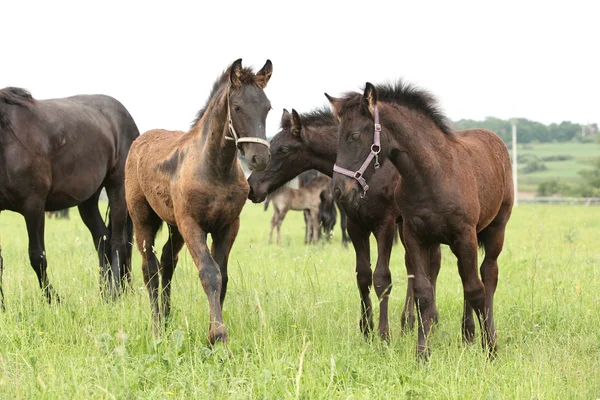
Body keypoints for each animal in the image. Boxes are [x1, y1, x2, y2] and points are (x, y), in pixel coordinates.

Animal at [0, 88, 139, 306]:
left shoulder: (34, 206)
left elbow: (37, 256)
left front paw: (53, 300)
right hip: (88, 200)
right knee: (102, 239)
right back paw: (104, 293)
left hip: (118, 188)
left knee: (118, 242)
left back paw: (114, 293)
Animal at [127, 58, 276, 344]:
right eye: (237, 107)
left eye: (268, 107)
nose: (260, 158)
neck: (215, 169)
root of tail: (139, 141)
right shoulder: (191, 223)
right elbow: (209, 272)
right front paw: (218, 335)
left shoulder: (228, 226)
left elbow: (223, 276)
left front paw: (211, 333)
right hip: (143, 219)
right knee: (149, 267)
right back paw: (157, 327)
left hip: (174, 226)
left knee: (167, 261)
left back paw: (167, 318)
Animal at [328, 79, 516, 358]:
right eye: (337, 137)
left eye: (354, 135)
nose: (340, 189)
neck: (432, 175)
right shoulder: (415, 236)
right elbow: (423, 292)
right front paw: (422, 354)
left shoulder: (465, 236)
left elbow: (476, 289)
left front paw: (490, 349)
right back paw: (467, 334)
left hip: (495, 230)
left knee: (487, 276)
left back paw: (482, 336)